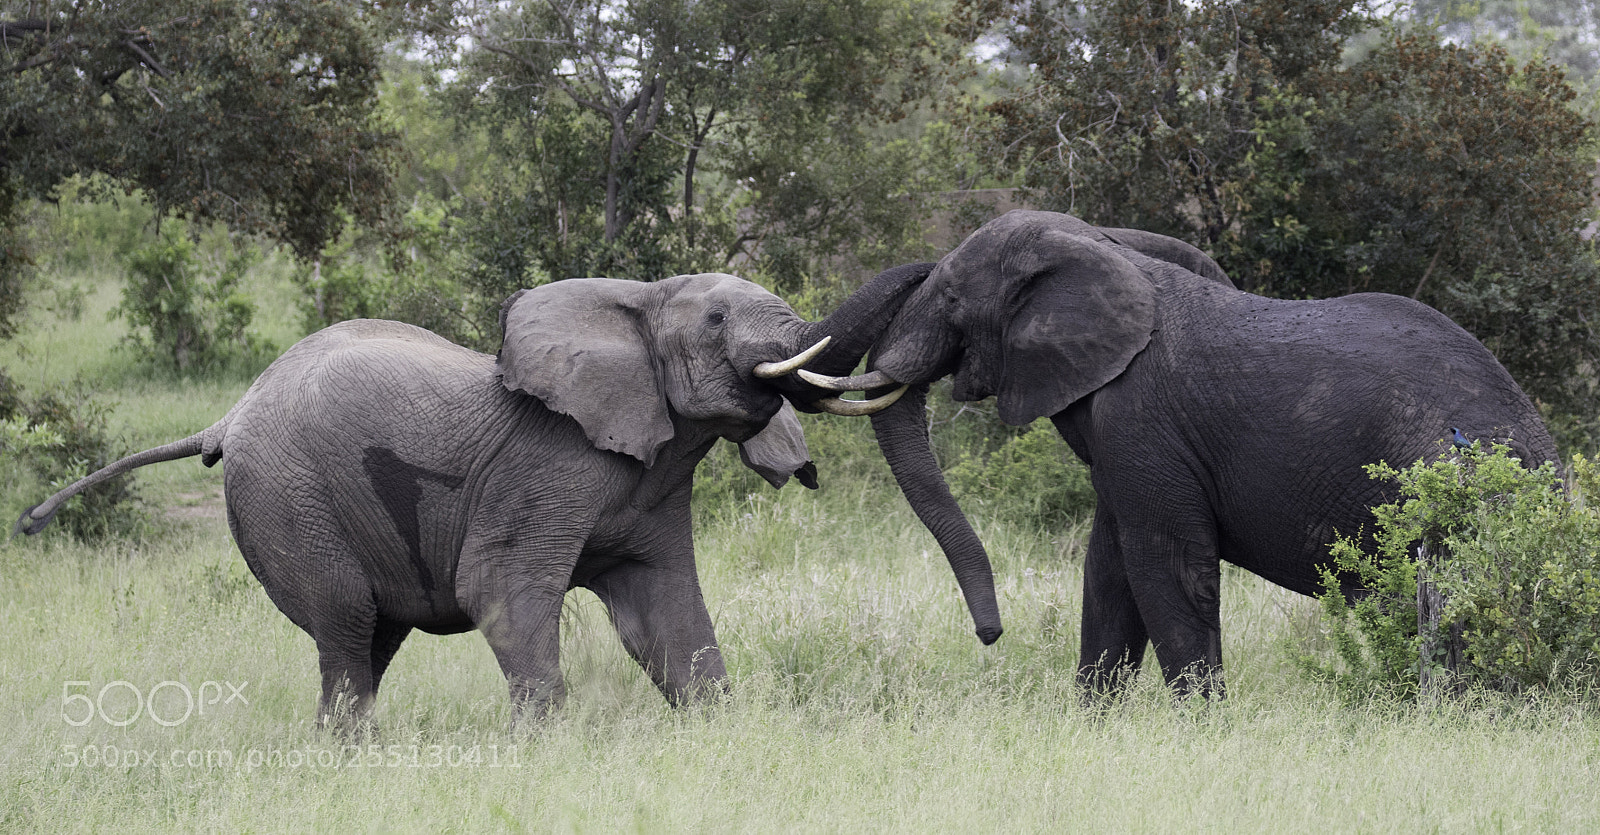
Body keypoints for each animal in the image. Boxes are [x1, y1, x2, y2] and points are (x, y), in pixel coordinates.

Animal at [17, 272, 921, 727]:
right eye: (718, 318)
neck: (634, 298)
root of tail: (228, 416)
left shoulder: (658, 475)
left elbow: (666, 616)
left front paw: (719, 733)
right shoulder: (550, 462)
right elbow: (503, 595)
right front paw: (549, 753)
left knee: (369, 639)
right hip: (286, 492)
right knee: (344, 624)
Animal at [792, 210, 1558, 696]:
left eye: (951, 296)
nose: (990, 634)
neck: (1109, 250)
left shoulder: (1141, 417)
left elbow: (1167, 567)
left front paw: (1204, 729)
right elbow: (1109, 574)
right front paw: (1092, 724)